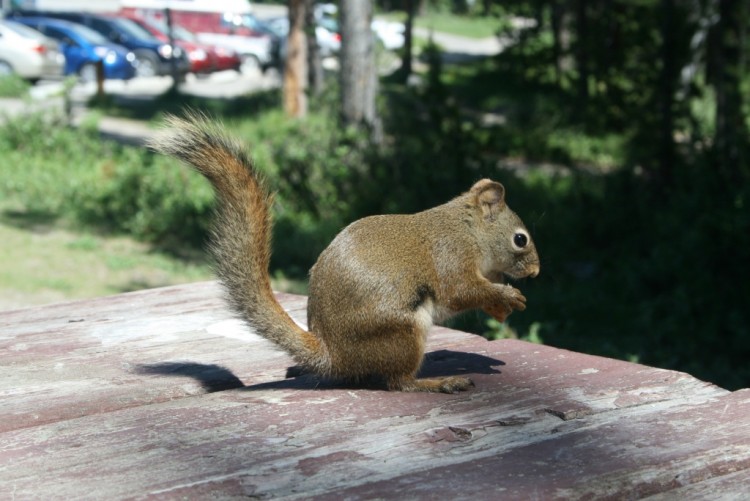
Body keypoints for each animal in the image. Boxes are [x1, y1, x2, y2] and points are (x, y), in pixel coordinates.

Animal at [151, 114, 540, 394]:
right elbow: (459, 291)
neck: (469, 230)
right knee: (399, 383)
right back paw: (438, 382)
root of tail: (333, 356)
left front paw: (501, 306)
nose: (536, 272)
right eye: (520, 239)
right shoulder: (452, 254)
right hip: (401, 331)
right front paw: (507, 296)